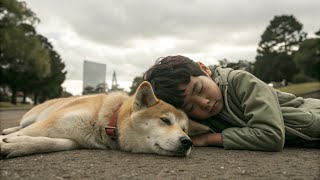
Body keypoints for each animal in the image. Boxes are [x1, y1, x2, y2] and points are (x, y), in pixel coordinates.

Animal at [1, 81, 196, 158]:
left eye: (184, 129)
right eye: (165, 120)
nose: (188, 142)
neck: (106, 121)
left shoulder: (75, 141)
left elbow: (48, 143)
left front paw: (14, 145)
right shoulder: (50, 123)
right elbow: (24, 135)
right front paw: (7, 142)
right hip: (32, 117)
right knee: (21, 125)